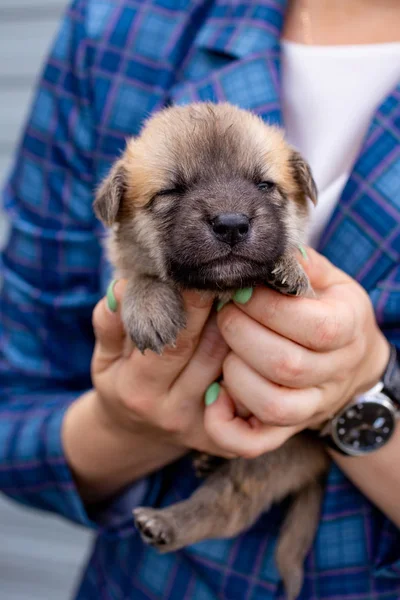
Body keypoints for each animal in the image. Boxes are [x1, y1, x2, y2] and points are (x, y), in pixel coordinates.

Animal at [94, 104, 332, 600]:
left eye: (265, 185)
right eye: (171, 191)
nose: (231, 224)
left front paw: (290, 266)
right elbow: (139, 276)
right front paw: (149, 304)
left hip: (268, 459)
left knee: (228, 507)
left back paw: (166, 523)